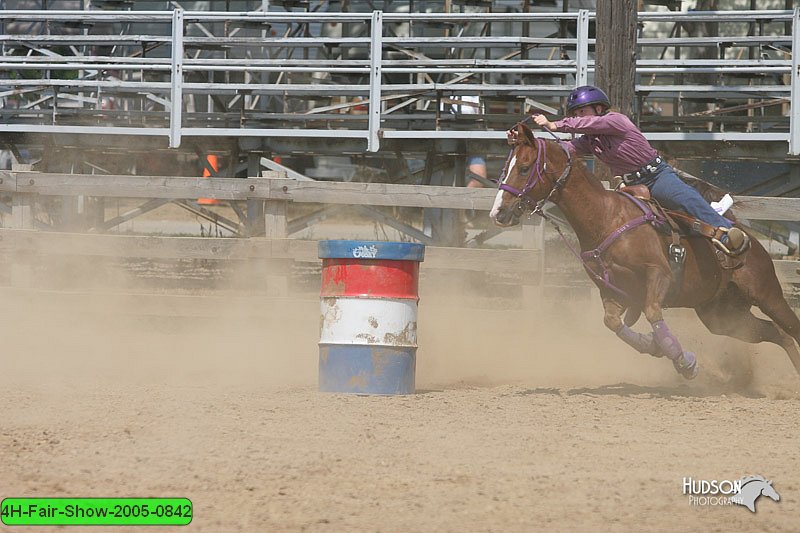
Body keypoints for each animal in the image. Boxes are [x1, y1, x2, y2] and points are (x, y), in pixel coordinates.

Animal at [490, 121, 800, 378]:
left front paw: (685, 362)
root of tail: (751, 242)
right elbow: (612, 323)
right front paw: (652, 346)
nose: (498, 213)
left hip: (767, 294)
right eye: (505, 168)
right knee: (777, 333)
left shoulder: (659, 274)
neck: (606, 218)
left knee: (790, 326)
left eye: (524, 168)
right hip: (723, 315)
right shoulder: (611, 291)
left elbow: (652, 313)